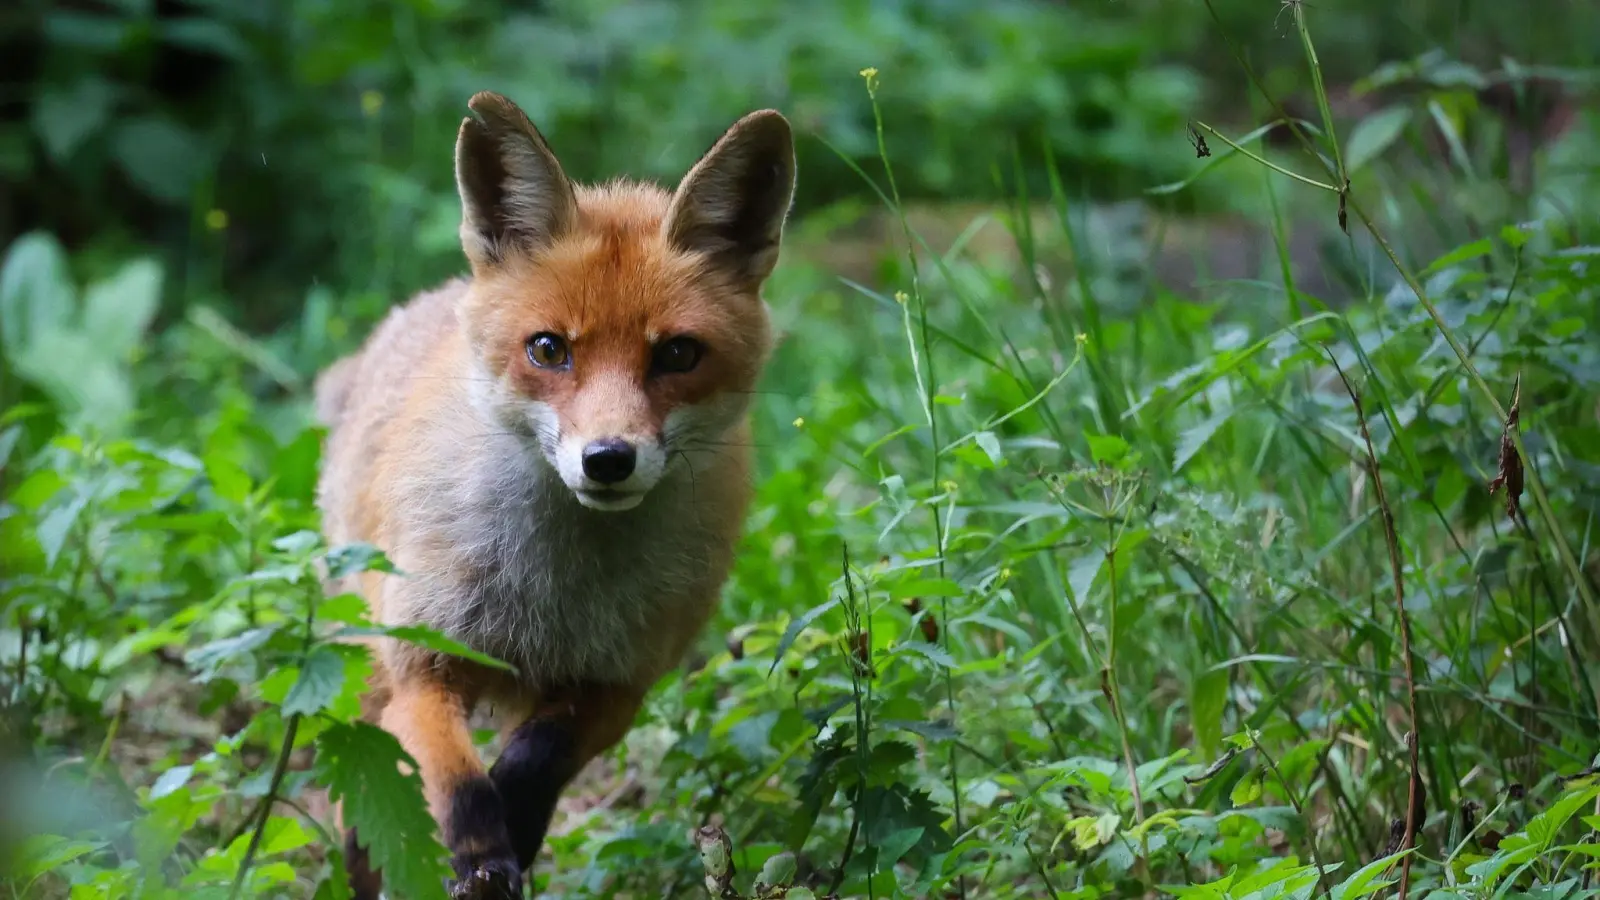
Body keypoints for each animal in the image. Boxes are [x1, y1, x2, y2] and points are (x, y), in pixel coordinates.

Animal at [312, 92, 793, 896]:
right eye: (548, 349)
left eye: (678, 354)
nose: (608, 459)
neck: (554, 595)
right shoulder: (422, 661)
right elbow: (457, 782)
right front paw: (480, 854)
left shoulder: (617, 684)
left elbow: (534, 763)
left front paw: (516, 826)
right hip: (366, 656)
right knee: (368, 805)